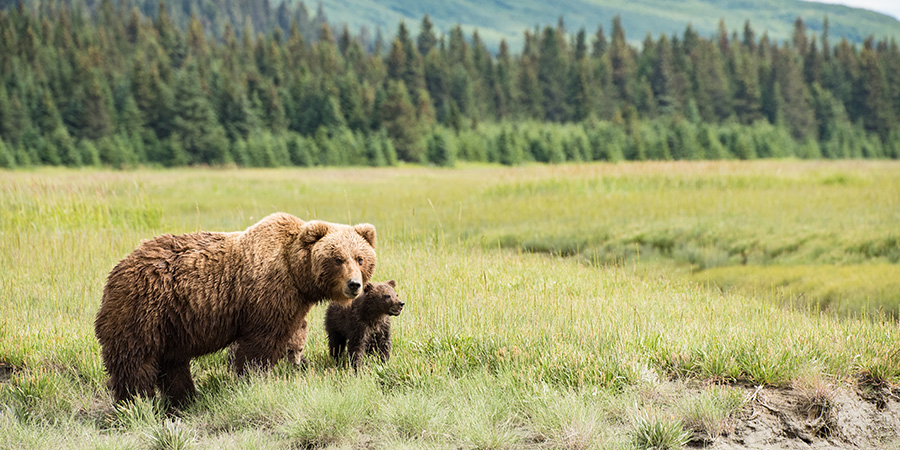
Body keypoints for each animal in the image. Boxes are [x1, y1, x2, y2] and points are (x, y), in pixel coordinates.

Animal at [96, 213, 378, 406]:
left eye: (360, 258)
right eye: (338, 258)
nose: (354, 285)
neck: (296, 273)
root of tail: (118, 268)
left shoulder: (291, 303)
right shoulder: (267, 296)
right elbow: (259, 345)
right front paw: (252, 379)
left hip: (172, 322)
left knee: (173, 362)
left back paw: (186, 399)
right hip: (144, 308)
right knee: (135, 359)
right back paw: (135, 401)